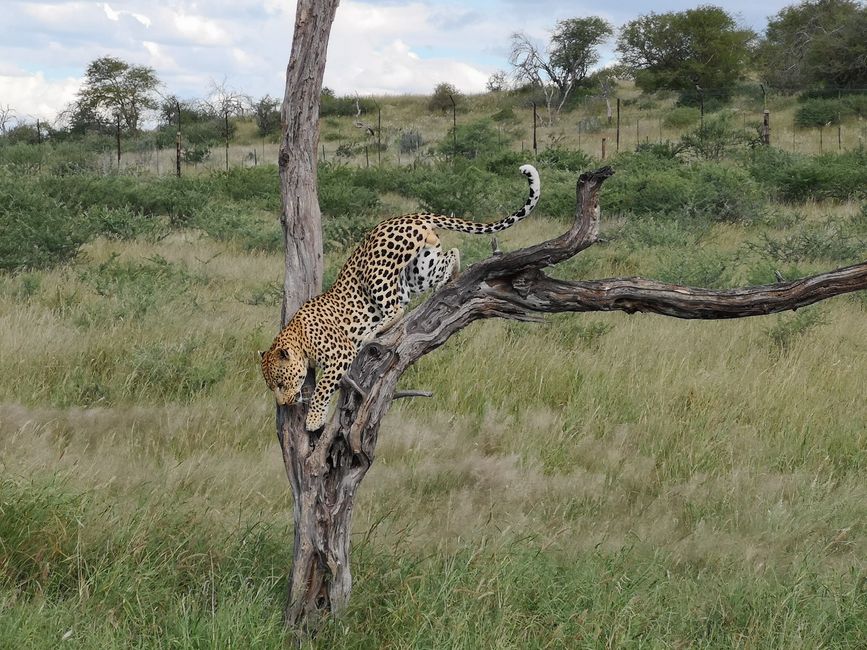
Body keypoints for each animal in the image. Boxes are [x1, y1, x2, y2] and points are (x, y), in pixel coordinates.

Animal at [262, 163, 540, 430]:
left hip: (376, 271)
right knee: (451, 254)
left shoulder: (340, 354)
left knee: (396, 309)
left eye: (279, 382)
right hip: (418, 268)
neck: (298, 335)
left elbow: (322, 388)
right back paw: (447, 279)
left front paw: (313, 419)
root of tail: (410, 215)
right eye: (272, 386)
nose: (284, 404)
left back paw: (373, 331)